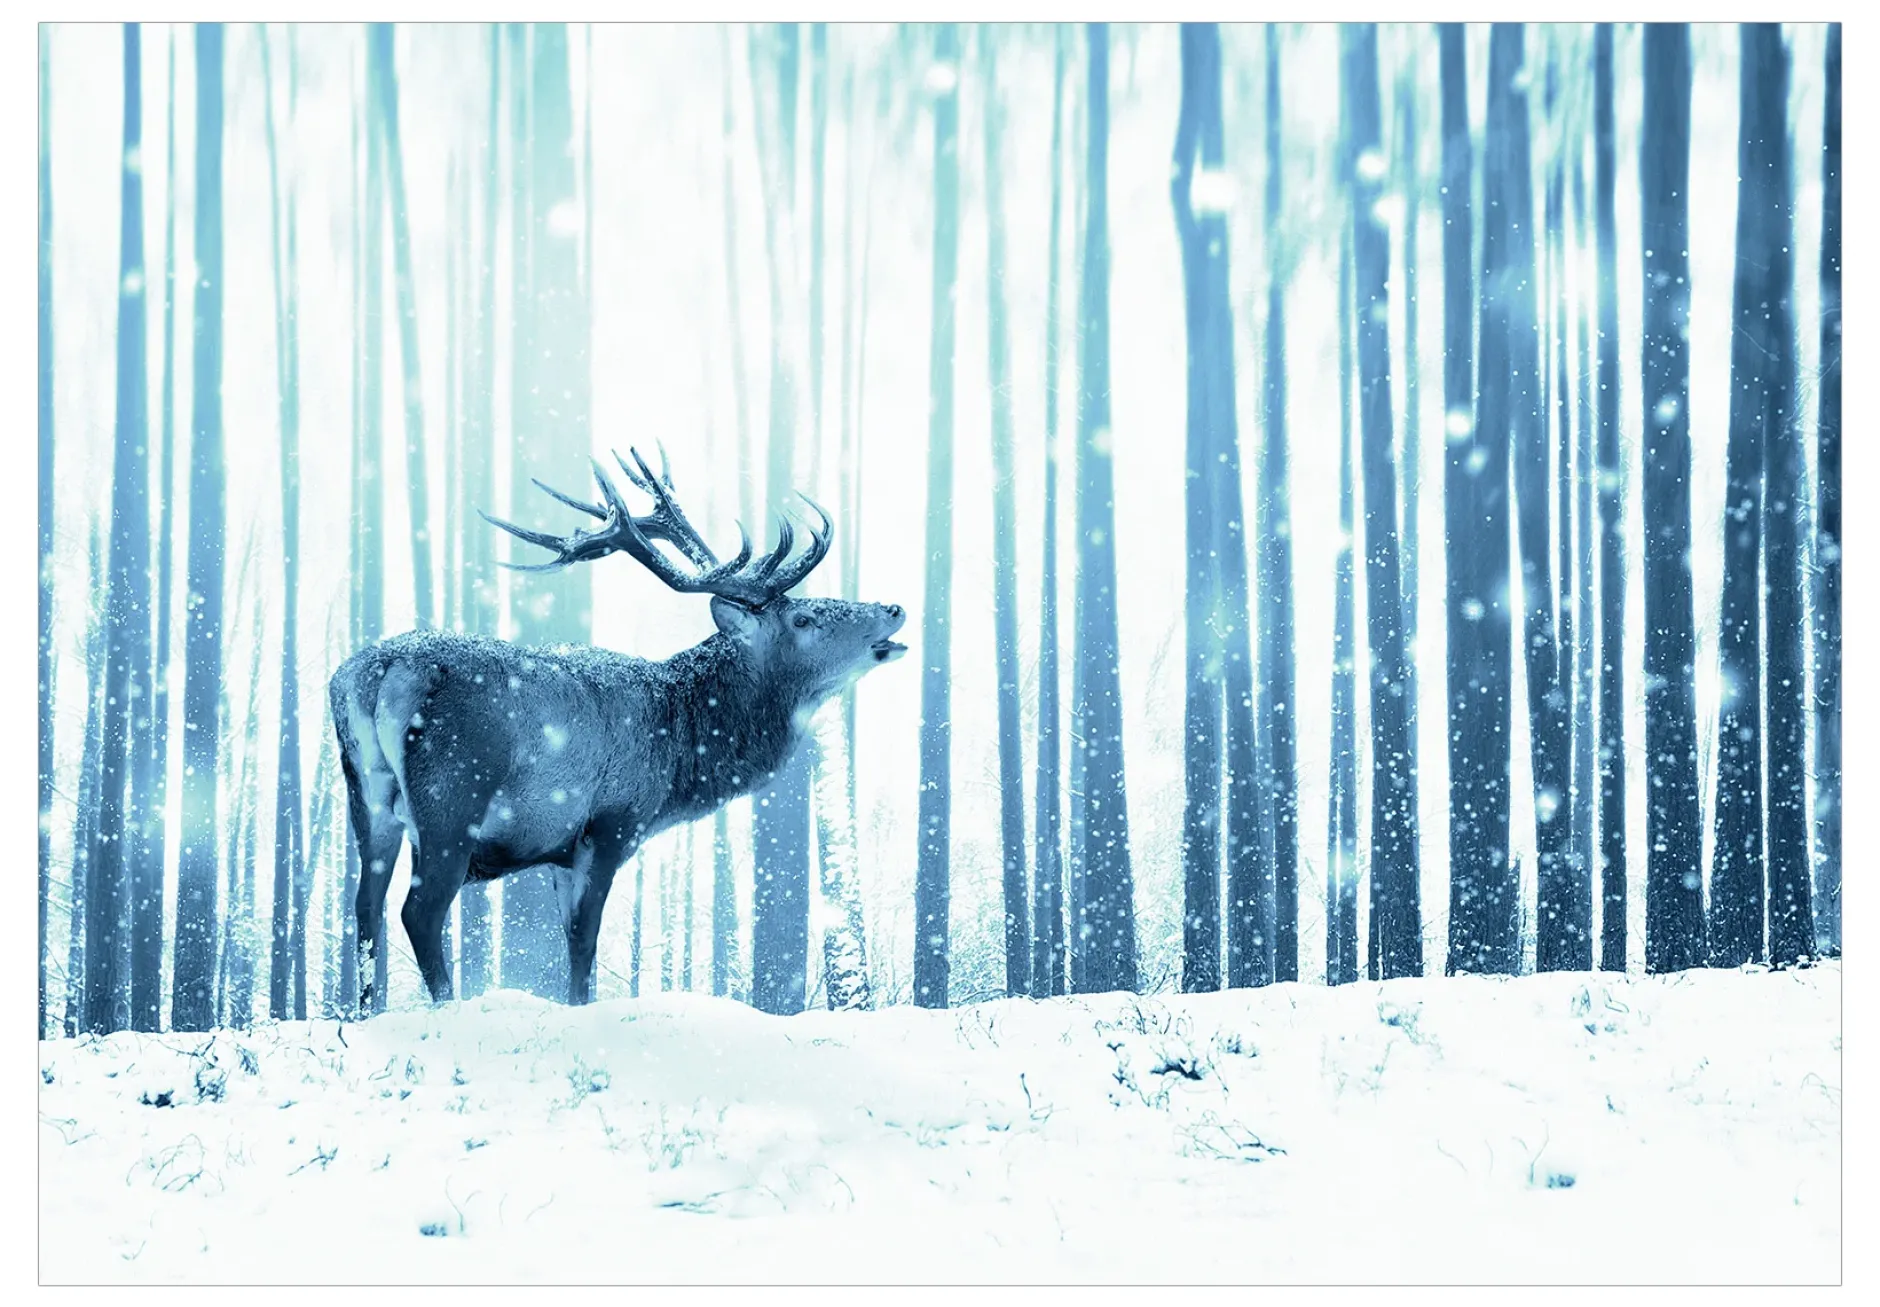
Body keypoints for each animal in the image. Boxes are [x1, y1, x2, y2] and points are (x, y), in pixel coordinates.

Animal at [328, 447, 906, 1011]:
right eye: (803, 619)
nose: (894, 608)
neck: (678, 754)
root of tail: (378, 672)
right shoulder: (612, 822)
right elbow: (585, 941)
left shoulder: (559, 850)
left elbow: (570, 940)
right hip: (453, 795)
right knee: (420, 910)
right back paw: (446, 1008)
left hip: (367, 797)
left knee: (365, 907)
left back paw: (368, 1012)